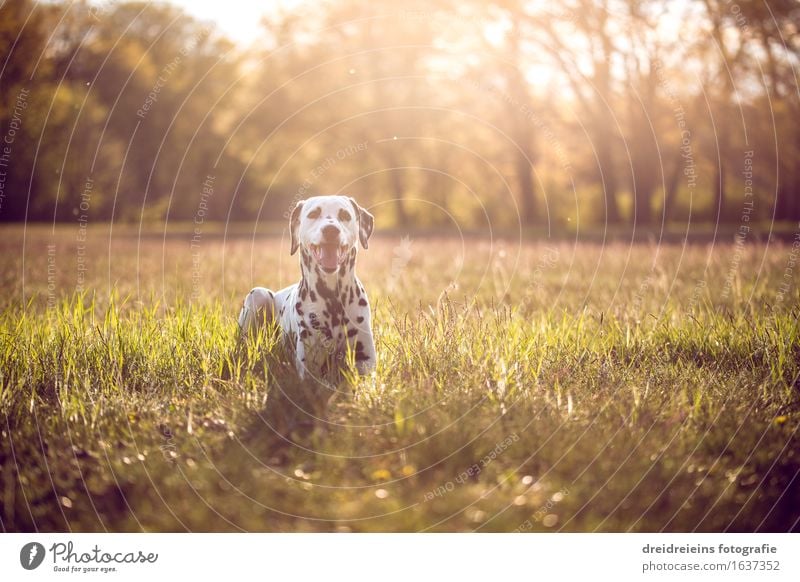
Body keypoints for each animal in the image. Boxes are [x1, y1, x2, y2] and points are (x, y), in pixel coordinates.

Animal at [239, 196, 376, 378]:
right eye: (313, 214)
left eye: (345, 215)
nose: (331, 230)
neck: (332, 299)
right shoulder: (308, 367)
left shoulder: (366, 361)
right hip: (258, 294)